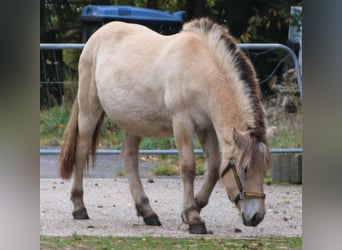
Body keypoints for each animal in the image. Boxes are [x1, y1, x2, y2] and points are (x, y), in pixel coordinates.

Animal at [58, 18, 276, 234]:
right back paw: (79, 207)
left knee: (129, 158)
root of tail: (97, 35)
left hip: (134, 122)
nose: (256, 216)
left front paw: (194, 207)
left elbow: (214, 168)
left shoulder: (206, 127)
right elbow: (188, 168)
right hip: (89, 110)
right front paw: (193, 217)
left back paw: (147, 212)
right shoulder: (182, 123)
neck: (201, 69)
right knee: (82, 150)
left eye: (265, 168)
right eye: (245, 169)